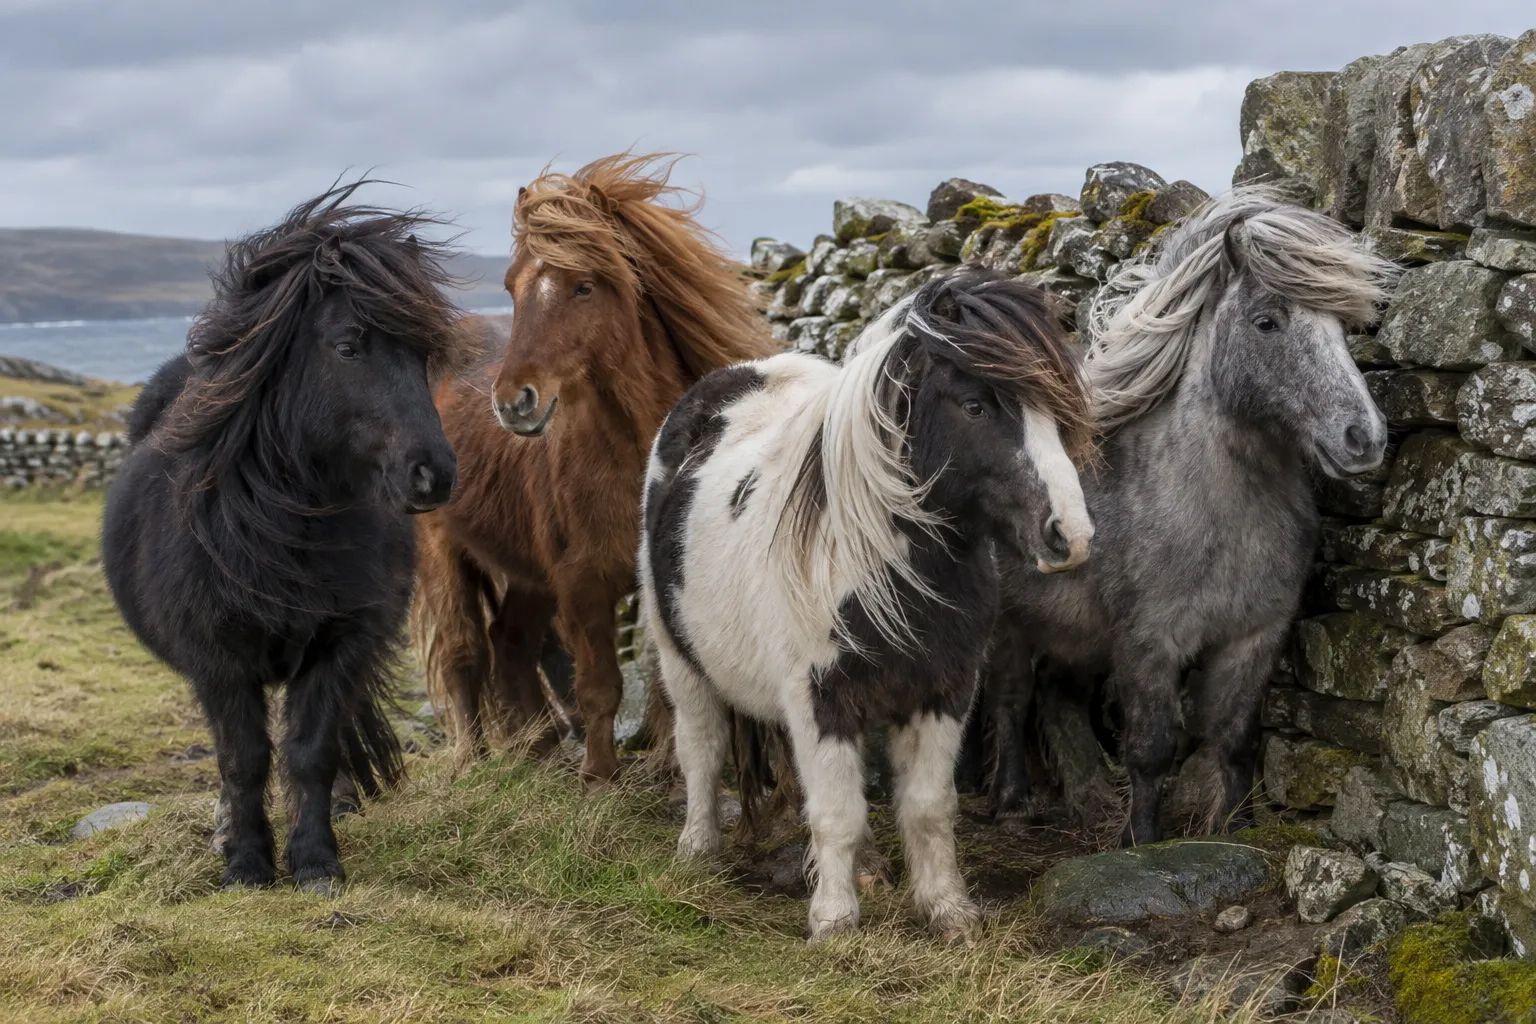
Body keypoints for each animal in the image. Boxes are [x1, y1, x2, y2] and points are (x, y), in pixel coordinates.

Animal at [101, 183, 465, 892]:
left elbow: (311, 751)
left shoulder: (341, 646)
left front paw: (316, 858)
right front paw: (246, 861)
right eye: (349, 347)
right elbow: (242, 760)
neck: (277, 532)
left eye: (421, 356)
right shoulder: (218, 661)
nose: (433, 474)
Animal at [413, 153, 774, 781]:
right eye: (510, 286)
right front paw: (601, 778)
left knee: (509, 640)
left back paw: (540, 750)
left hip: (528, 573)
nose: (513, 402)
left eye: (584, 286)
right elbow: (599, 683)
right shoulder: (580, 582)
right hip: (443, 551)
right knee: (463, 652)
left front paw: (668, 768)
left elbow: (664, 684)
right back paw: (476, 763)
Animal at [640, 270, 1095, 942]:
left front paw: (948, 912)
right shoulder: (820, 698)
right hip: (683, 664)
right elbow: (836, 812)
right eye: (975, 405)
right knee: (702, 749)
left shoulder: (943, 694)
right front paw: (833, 921)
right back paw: (698, 851)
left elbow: (928, 808)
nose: (1071, 535)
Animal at [988, 187, 1396, 845]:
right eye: (1266, 321)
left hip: (1074, 633)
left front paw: (1233, 827)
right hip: (1008, 625)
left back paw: (1086, 795)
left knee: (1058, 698)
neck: (1214, 514)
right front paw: (1139, 842)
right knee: (1012, 699)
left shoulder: (1253, 639)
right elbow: (1151, 750)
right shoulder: (1148, 645)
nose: (1364, 437)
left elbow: (1234, 741)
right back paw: (1012, 801)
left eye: (1341, 327)